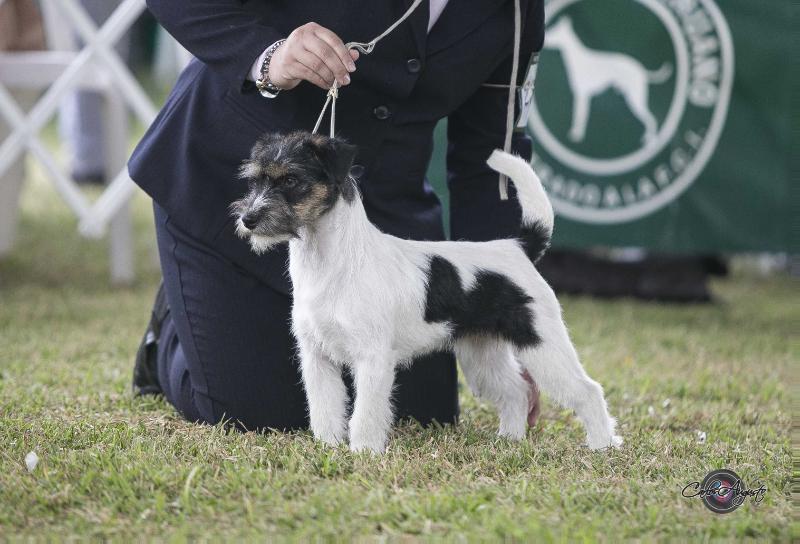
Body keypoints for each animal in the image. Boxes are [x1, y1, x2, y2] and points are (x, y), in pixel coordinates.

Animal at [228, 132, 620, 454]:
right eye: (255, 180)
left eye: (291, 179)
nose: (248, 219)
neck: (331, 260)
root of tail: (519, 247)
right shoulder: (317, 356)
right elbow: (325, 407)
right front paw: (328, 446)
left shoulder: (373, 360)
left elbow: (366, 412)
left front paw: (363, 453)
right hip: (482, 352)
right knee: (516, 391)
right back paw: (509, 439)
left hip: (542, 343)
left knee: (588, 390)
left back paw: (602, 446)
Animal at [548, 15, 672, 144]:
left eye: (554, 30)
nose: (545, 38)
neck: (577, 57)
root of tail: (641, 71)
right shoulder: (583, 96)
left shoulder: (582, 95)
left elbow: (579, 116)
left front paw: (576, 135)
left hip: (635, 100)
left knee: (652, 119)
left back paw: (649, 139)